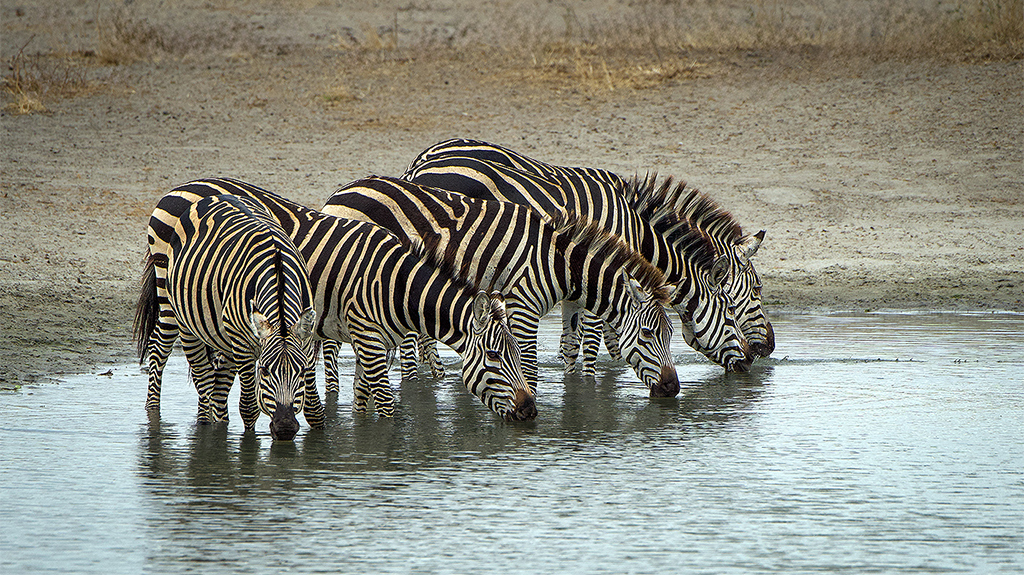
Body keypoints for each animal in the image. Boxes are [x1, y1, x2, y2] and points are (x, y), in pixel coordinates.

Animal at [134, 194, 319, 440]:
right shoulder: (243, 346)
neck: (277, 271)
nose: (285, 428)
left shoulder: (305, 342)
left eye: (301, 372)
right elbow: (249, 407)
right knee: (185, 365)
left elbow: (315, 408)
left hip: (224, 335)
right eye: (264, 371)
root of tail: (216, 196)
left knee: (218, 386)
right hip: (177, 310)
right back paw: (163, 416)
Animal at [141, 178, 535, 421]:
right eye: (495, 357)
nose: (530, 411)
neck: (396, 285)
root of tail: (178, 189)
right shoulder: (368, 337)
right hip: (169, 298)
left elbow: (362, 400)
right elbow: (386, 405)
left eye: (518, 355)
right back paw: (153, 419)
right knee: (159, 351)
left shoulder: (370, 343)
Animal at [320, 176, 688, 397]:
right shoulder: (522, 307)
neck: (560, 265)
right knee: (330, 345)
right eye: (648, 334)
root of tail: (338, 193)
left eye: (672, 334)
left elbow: (568, 351)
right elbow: (529, 363)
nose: (672, 389)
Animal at [401, 144, 756, 374]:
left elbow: (576, 341)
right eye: (734, 308)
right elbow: (593, 338)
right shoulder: (600, 271)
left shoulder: (577, 276)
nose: (756, 356)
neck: (635, 227)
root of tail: (419, 163)